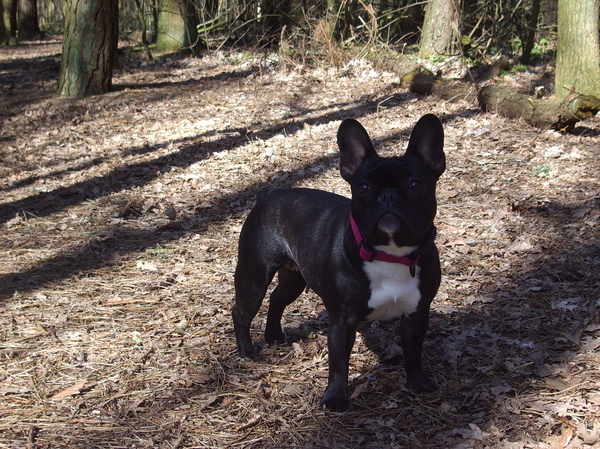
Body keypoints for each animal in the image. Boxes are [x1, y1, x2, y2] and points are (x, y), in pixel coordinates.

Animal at [232, 114, 442, 412]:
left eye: (415, 185)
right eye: (363, 188)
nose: (388, 195)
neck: (390, 252)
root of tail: (271, 193)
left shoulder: (417, 313)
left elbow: (414, 351)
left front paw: (418, 382)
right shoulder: (343, 321)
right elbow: (339, 363)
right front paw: (335, 399)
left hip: (294, 278)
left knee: (277, 298)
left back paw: (274, 336)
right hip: (254, 274)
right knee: (242, 311)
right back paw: (247, 352)